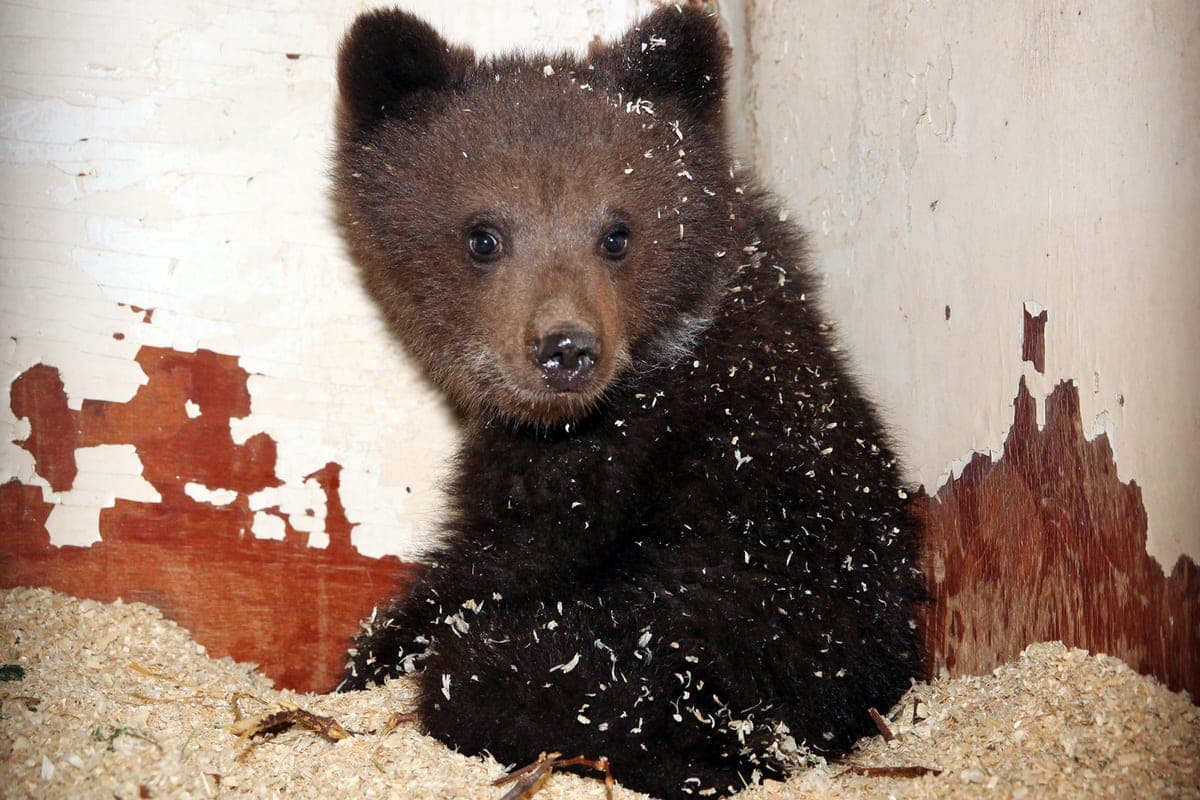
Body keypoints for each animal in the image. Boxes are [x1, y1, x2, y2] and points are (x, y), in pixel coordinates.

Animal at [332, 6, 925, 799]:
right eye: (482, 234)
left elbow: (490, 571)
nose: (566, 349)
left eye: (617, 233)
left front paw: (372, 655)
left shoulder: (601, 473)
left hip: (704, 634)